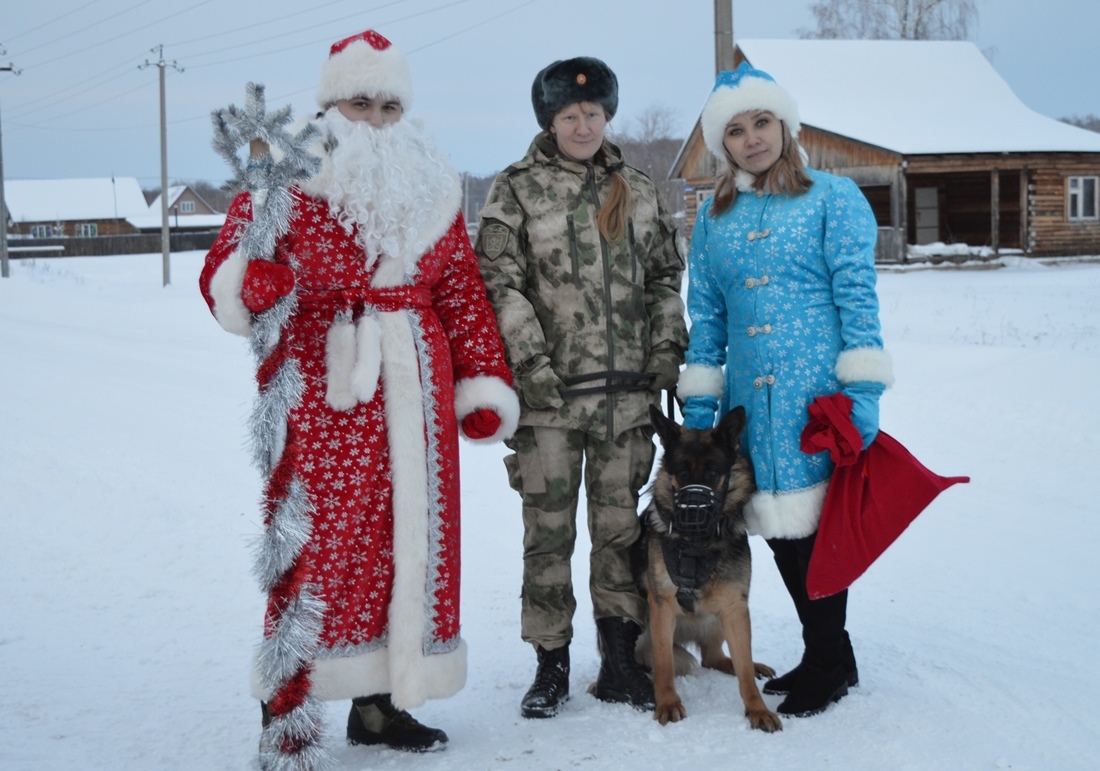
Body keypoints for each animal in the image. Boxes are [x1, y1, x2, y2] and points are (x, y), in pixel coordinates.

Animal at [638, 402, 783, 734]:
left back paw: (754, 666)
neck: (697, 545)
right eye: (681, 472)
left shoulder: (735, 608)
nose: (693, 513)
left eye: (713, 473)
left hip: (719, 620)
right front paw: (667, 703)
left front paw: (757, 709)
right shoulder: (661, 607)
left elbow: (744, 669)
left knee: (717, 659)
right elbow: (664, 665)